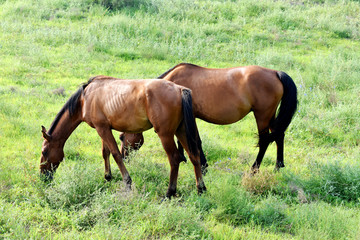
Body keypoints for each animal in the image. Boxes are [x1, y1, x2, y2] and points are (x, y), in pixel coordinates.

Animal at [39, 76, 205, 198]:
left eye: (44, 152)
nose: (43, 177)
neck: (84, 98)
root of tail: (180, 89)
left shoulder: (102, 129)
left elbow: (116, 154)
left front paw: (127, 182)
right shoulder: (103, 128)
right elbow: (105, 152)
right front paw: (108, 176)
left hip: (166, 135)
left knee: (175, 159)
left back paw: (169, 193)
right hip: (181, 131)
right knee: (194, 156)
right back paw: (201, 189)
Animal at [119, 63, 296, 172]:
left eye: (121, 137)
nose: (123, 158)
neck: (172, 86)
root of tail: (275, 73)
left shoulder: (190, 116)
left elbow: (195, 140)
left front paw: (203, 166)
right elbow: (183, 139)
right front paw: (184, 158)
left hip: (262, 115)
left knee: (265, 140)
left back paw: (254, 168)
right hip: (270, 115)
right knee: (279, 135)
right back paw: (278, 166)